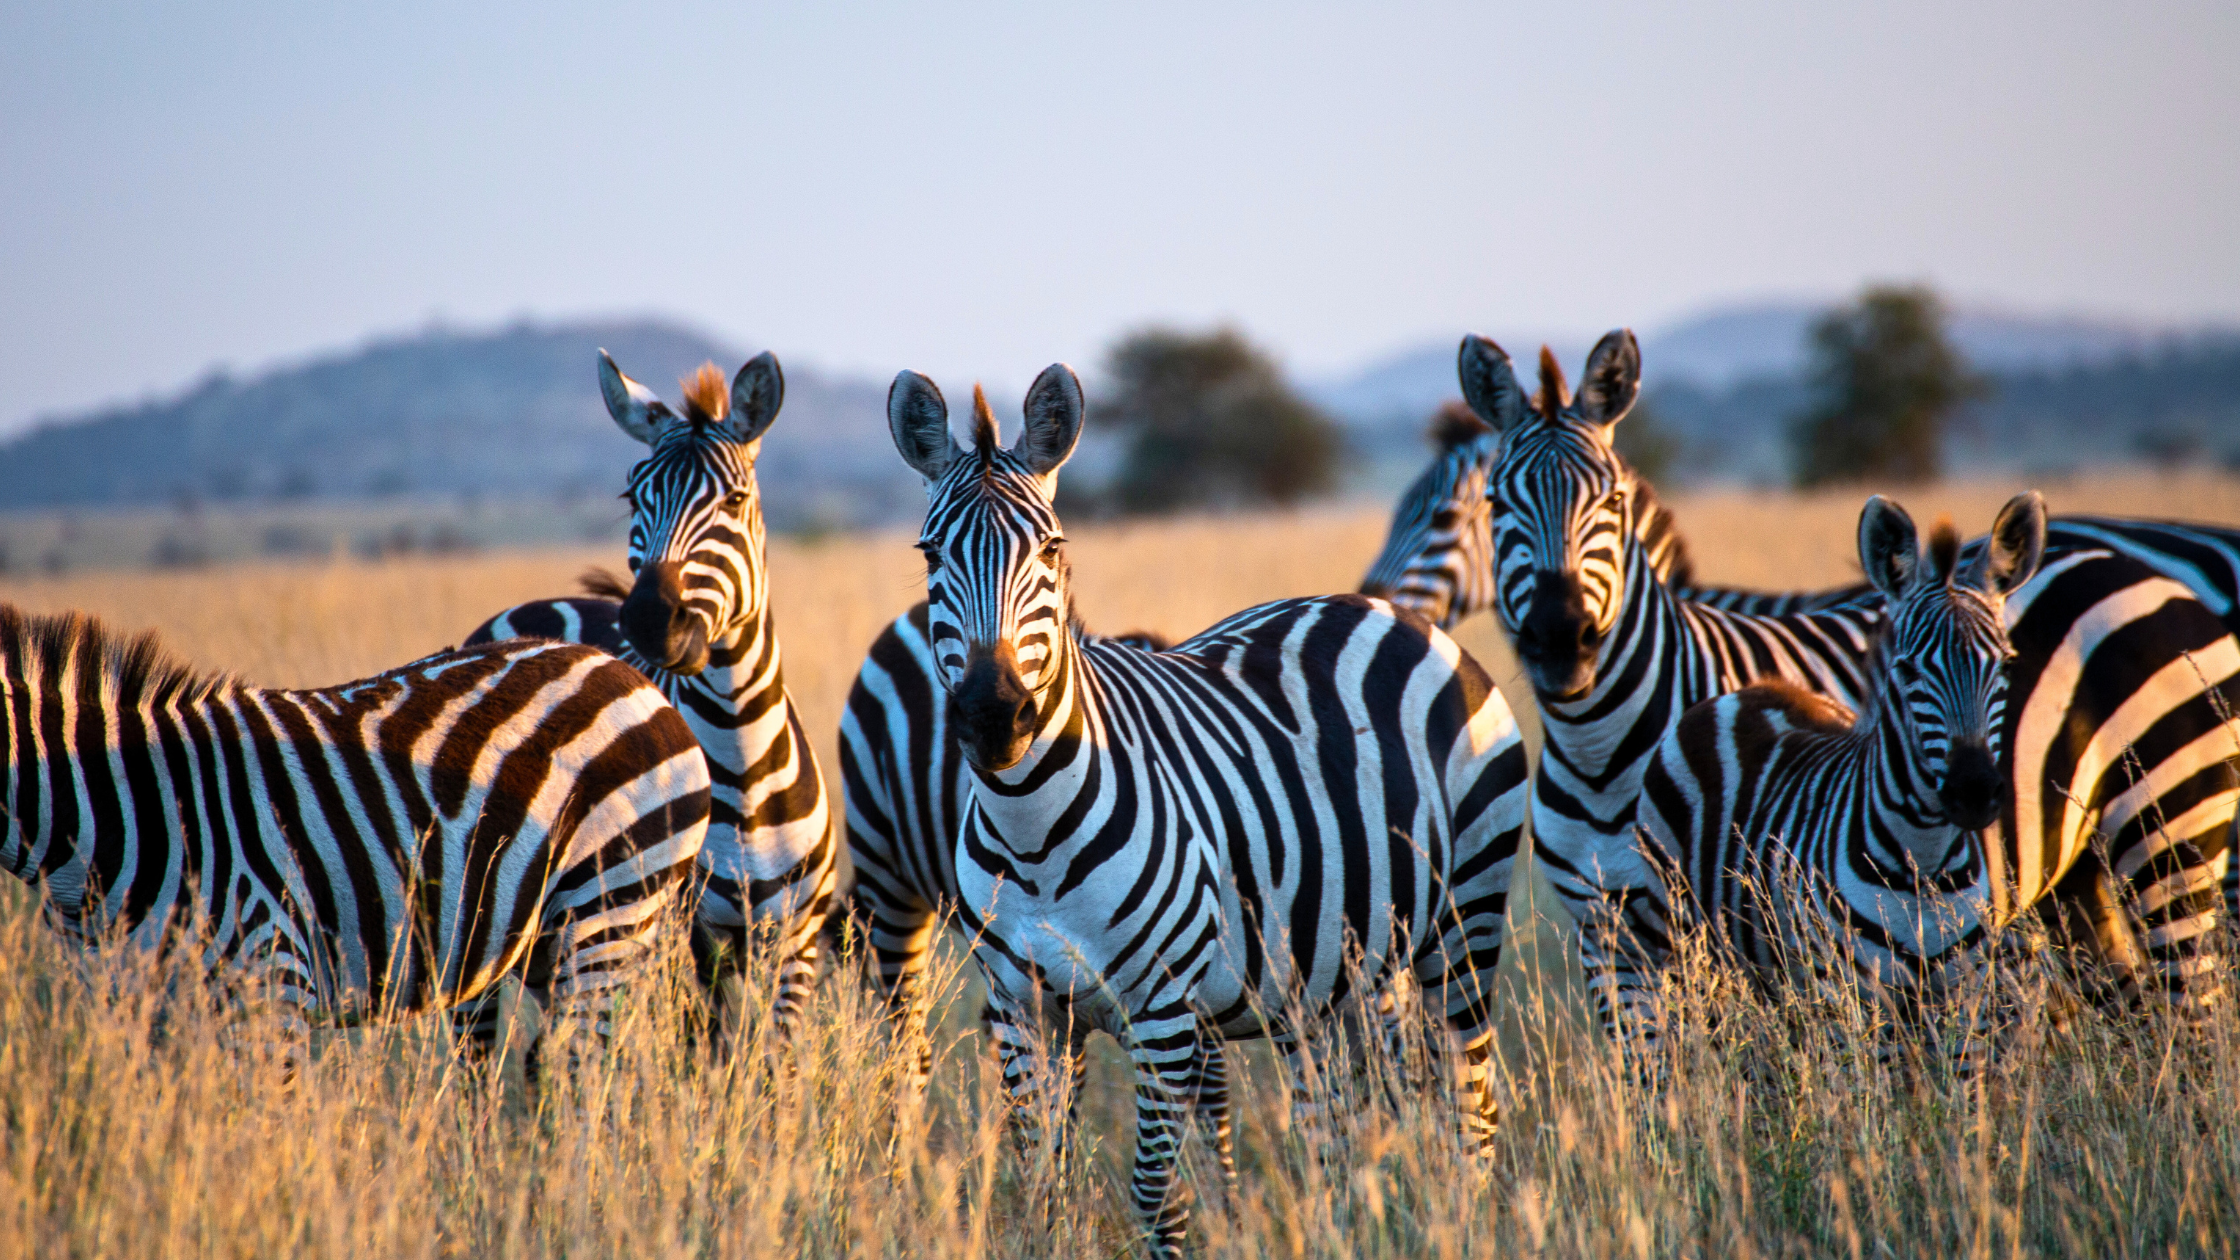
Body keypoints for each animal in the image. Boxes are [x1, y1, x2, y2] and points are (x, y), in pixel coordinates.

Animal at [0, 605, 711, 1076]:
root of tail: (627, 672)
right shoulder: (125, 1008)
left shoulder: (270, 980)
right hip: (546, 938)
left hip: (609, 907)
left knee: (591, 1070)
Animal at [468, 352, 838, 1043]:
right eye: (633, 495)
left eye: (736, 499)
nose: (648, 619)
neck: (742, 757)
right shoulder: (684, 944)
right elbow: (703, 1060)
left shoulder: (794, 946)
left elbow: (773, 1064)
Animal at [886, 365, 1529, 1258]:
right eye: (931, 553)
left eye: (1051, 550)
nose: (994, 716)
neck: (1033, 831)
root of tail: (1391, 613)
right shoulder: (1023, 1015)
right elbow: (1042, 1190)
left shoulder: (1162, 1014)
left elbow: (1156, 1195)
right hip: (1333, 977)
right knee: (1340, 1134)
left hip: (1463, 924)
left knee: (1470, 1114)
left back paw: (1463, 1223)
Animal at [1627, 494, 2046, 1073]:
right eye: (1907, 671)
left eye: (2005, 666)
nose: (1974, 792)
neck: (1923, 863)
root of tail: (1746, 692)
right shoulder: (1856, 1003)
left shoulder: (1966, 1003)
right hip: (1683, 942)